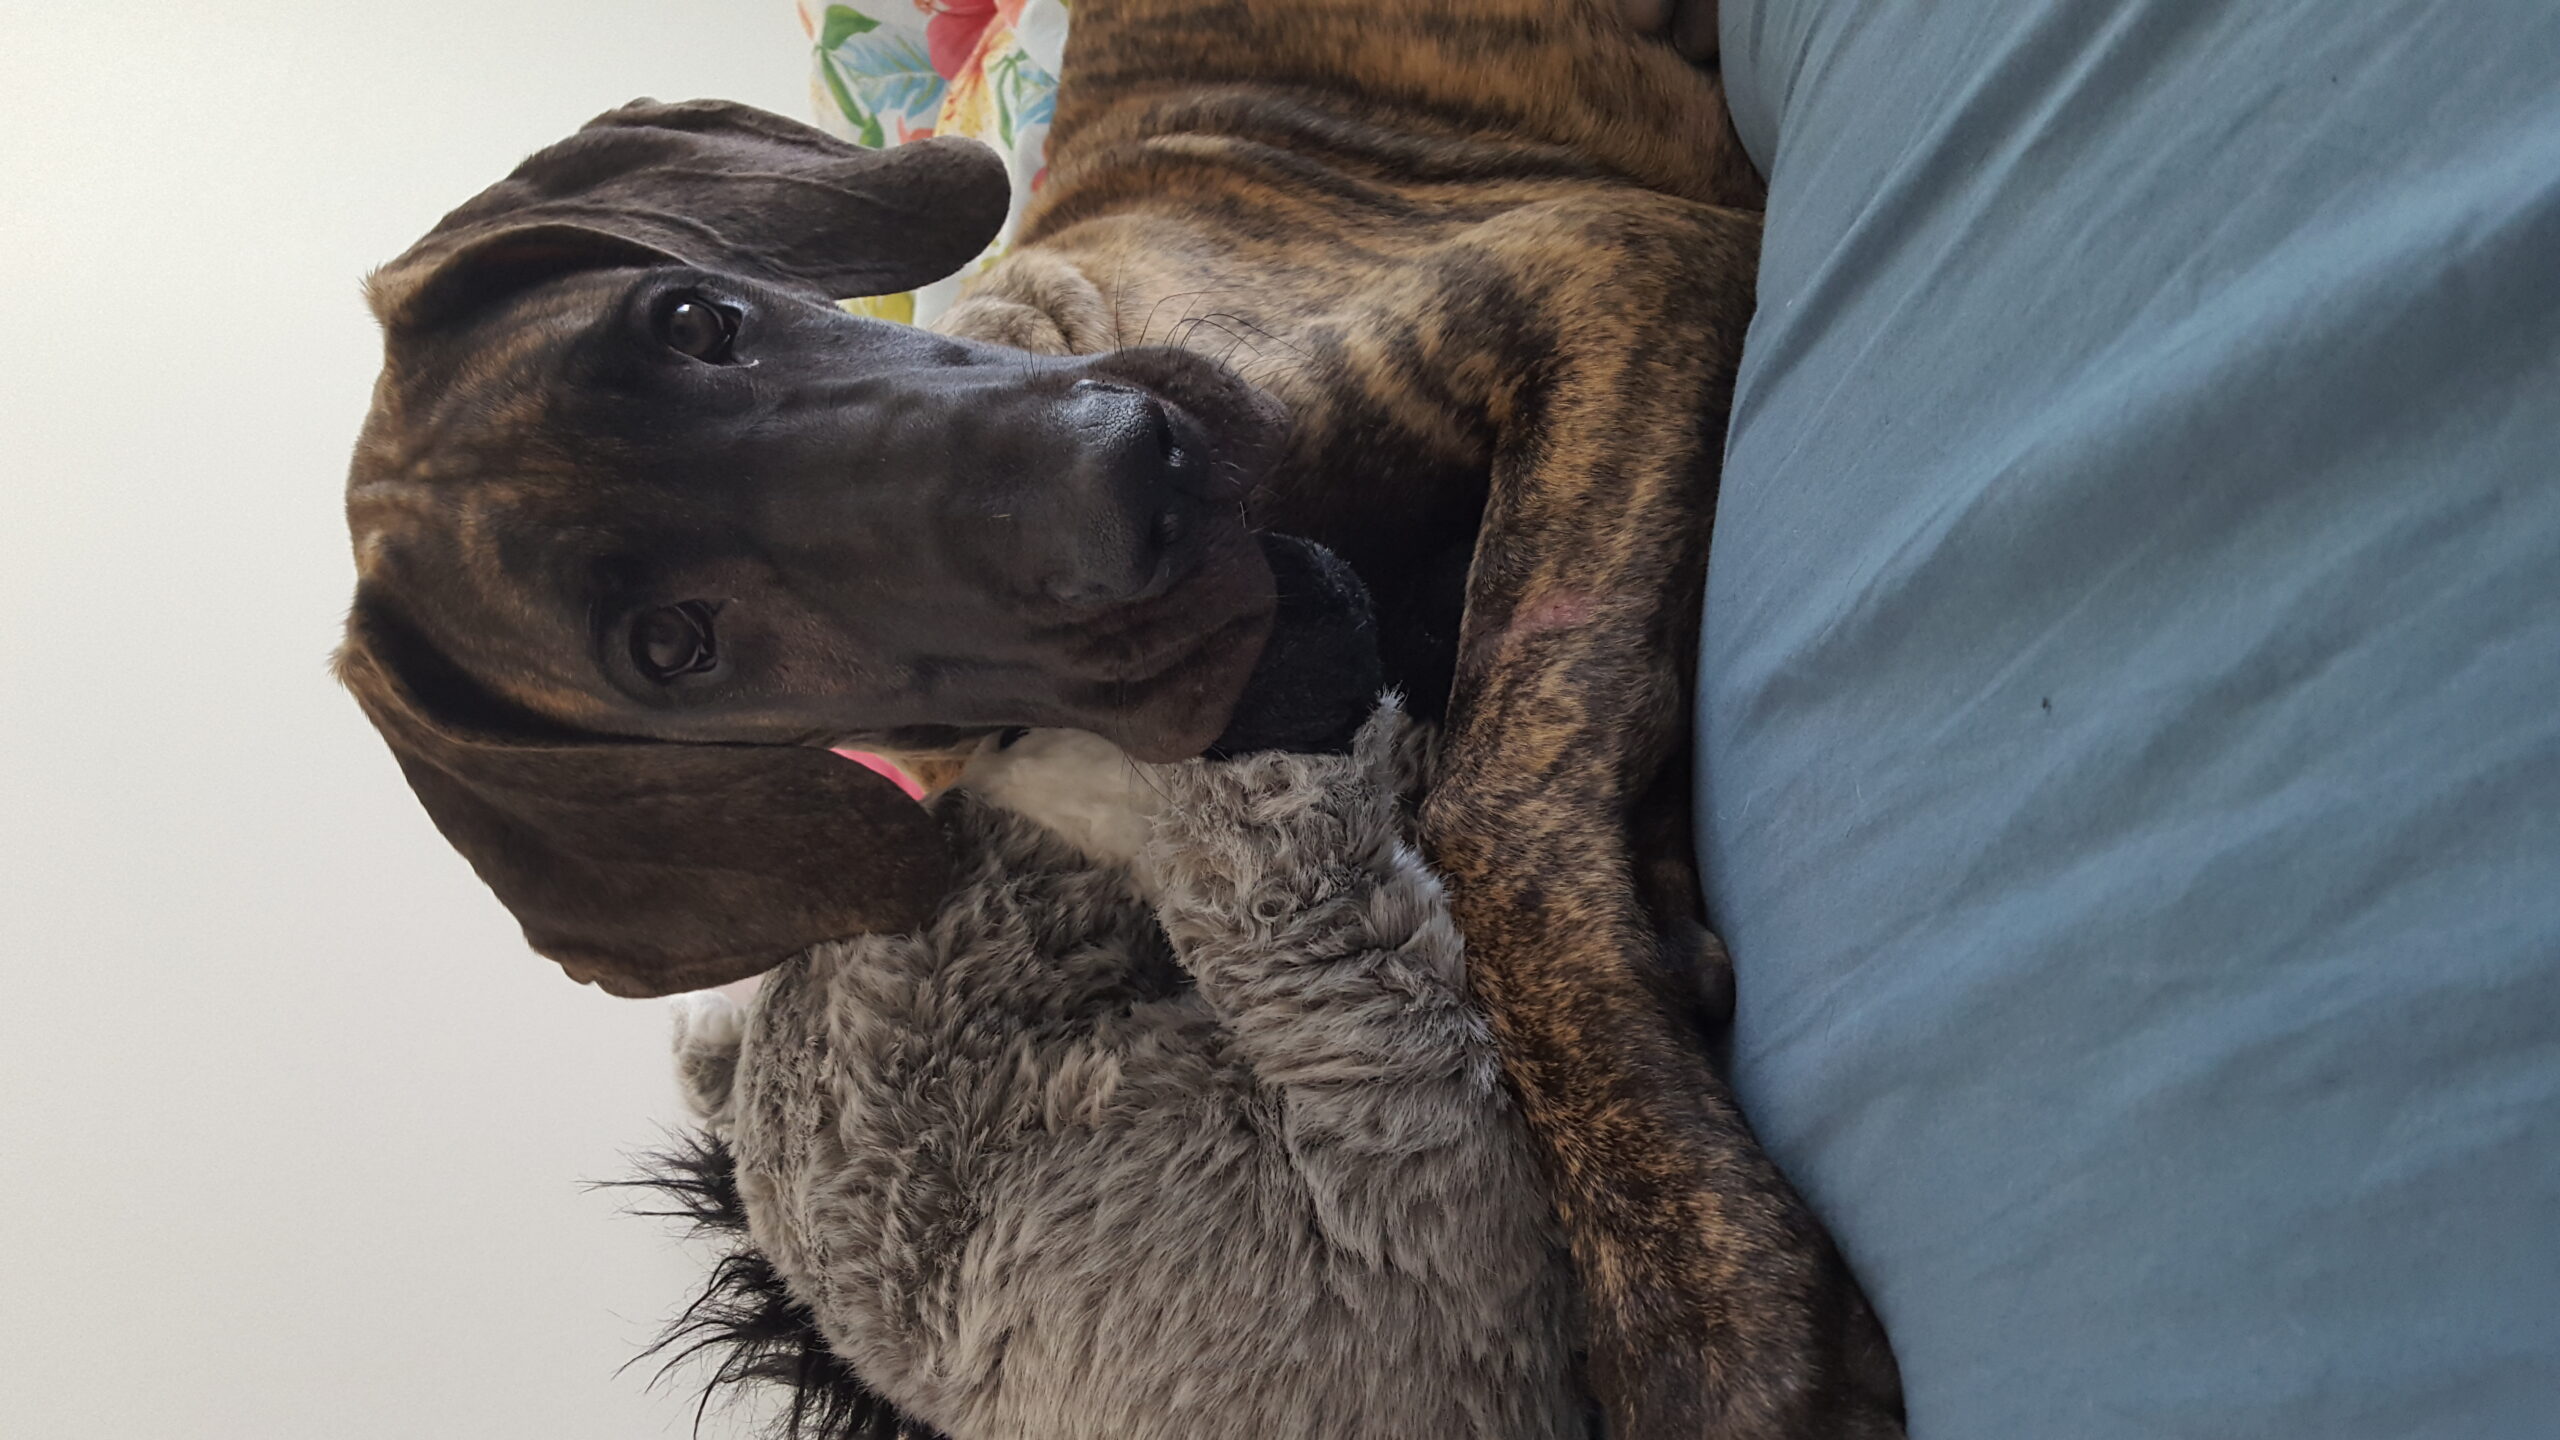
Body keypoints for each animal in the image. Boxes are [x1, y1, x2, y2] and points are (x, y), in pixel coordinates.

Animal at [337, 3, 1899, 1435]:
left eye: (695, 318)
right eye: (676, 647)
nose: (1130, 477)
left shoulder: (1602, 266)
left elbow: (1505, 771)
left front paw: (1694, 1299)